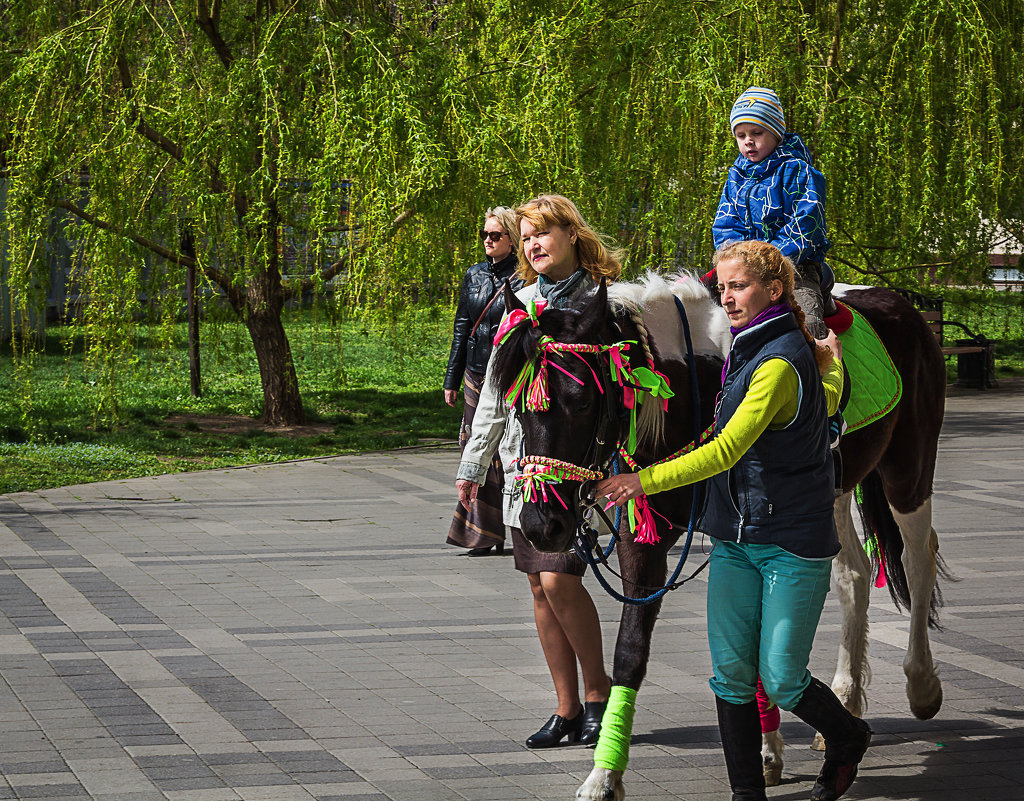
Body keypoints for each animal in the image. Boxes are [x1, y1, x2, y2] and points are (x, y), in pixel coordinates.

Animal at [491, 274, 946, 801]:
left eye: (582, 401)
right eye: (516, 408)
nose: (542, 526)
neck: (698, 385)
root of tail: (898, 302)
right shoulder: (656, 539)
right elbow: (653, 651)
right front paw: (606, 776)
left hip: (908, 468)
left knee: (918, 558)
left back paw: (922, 686)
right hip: (830, 493)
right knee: (853, 574)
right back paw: (845, 701)